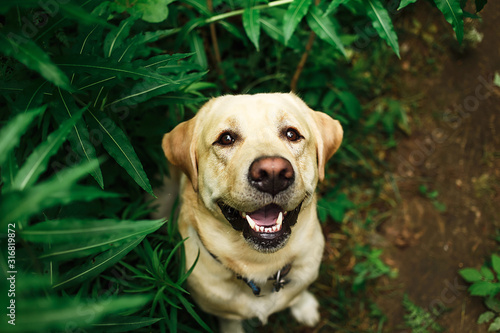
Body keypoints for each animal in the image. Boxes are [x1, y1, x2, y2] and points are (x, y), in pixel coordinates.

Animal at [162, 92, 342, 330]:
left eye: (292, 134)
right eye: (226, 138)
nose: (273, 173)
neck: (261, 265)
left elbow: (299, 293)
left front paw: (304, 306)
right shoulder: (222, 311)